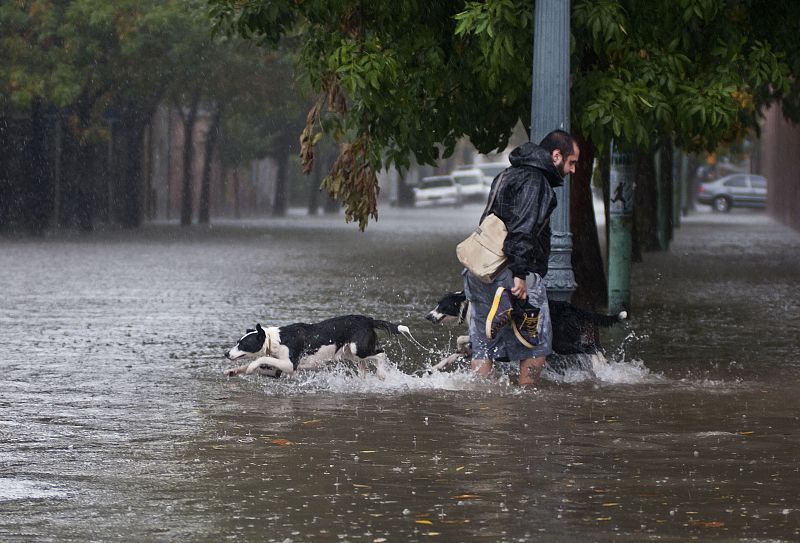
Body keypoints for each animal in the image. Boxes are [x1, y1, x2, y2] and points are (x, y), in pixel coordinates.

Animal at [225, 316, 412, 380]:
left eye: (242, 344)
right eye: (237, 341)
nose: (226, 353)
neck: (275, 339)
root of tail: (368, 319)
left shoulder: (290, 365)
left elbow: (260, 359)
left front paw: (250, 366)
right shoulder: (278, 370)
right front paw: (233, 371)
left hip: (359, 349)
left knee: (381, 354)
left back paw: (381, 374)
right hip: (351, 353)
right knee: (364, 365)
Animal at [424, 294, 624, 374]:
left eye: (441, 305)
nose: (427, 316)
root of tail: (572, 307)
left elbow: (462, 339)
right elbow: (453, 355)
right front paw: (434, 367)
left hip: (561, 343)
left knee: (589, 348)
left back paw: (599, 366)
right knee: (593, 347)